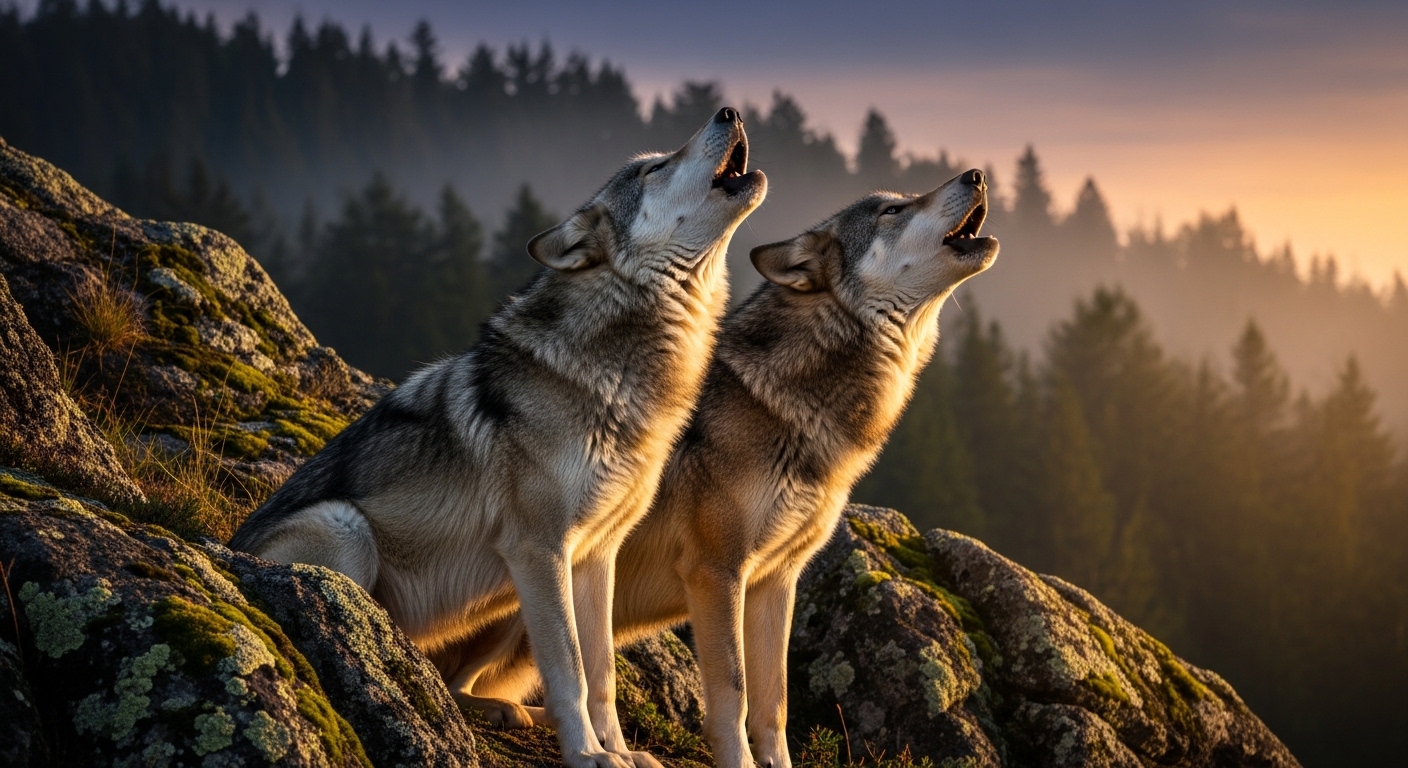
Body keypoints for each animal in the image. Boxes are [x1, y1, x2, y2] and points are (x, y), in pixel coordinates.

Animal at [228, 108, 766, 768]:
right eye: (654, 168)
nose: (729, 112)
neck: (624, 378)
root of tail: (226, 548)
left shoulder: (595, 556)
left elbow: (603, 674)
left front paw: (616, 751)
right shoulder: (540, 549)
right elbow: (569, 668)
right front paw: (586, 754)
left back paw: (507, 711)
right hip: (349, 530)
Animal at [454, 170, 998, 767]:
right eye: (893, 211)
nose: (976, 175)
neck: (794, 406)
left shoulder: (777, 581)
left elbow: (774, 703)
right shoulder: (718, 571)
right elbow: (735, 691)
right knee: (453, 675)